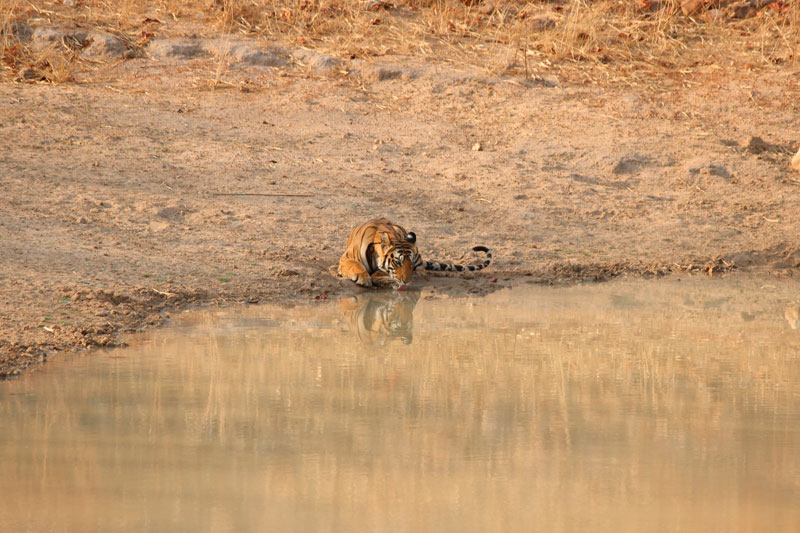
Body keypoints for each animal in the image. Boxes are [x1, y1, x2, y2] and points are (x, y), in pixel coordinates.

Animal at [336, 217, 490, 286]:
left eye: (410, 264)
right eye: (397, 262)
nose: (407, 282)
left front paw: (378, 276)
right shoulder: (345, 259)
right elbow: (355, 265)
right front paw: (364, 278)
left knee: (423, 269)